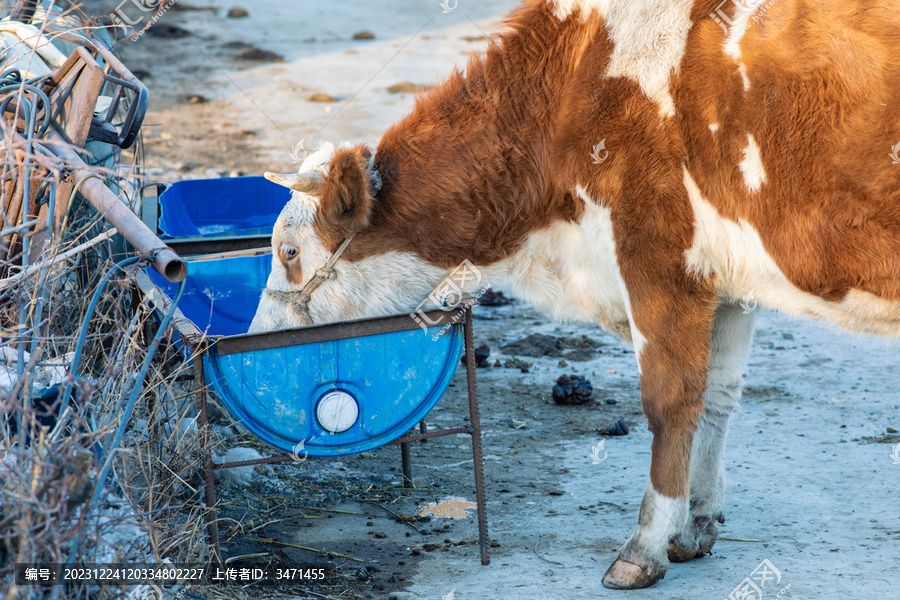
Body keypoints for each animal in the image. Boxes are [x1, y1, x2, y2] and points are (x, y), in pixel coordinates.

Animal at [250, 0, 900, 592]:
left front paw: (643, 549)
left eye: (289, 251)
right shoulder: (729, 283)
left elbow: (669, 402)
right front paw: (694, 527)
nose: (255, 341)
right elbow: (716, 395)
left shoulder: (656, 258)